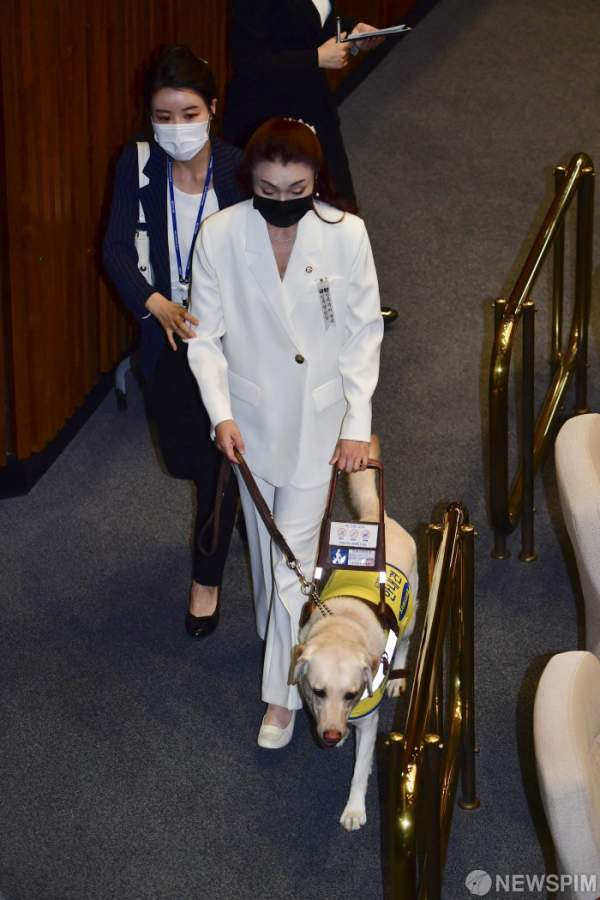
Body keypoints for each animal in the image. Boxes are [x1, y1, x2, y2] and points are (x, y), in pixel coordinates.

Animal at [291, 437, 418, 831]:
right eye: (318, 691)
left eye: (351, 694)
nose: (332, 735)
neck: (342, 626)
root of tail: (380, 519)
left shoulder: (369, 723)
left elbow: (361, 769)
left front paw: (354, 809)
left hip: (412, 612)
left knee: (406, 641)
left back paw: (398, 678)